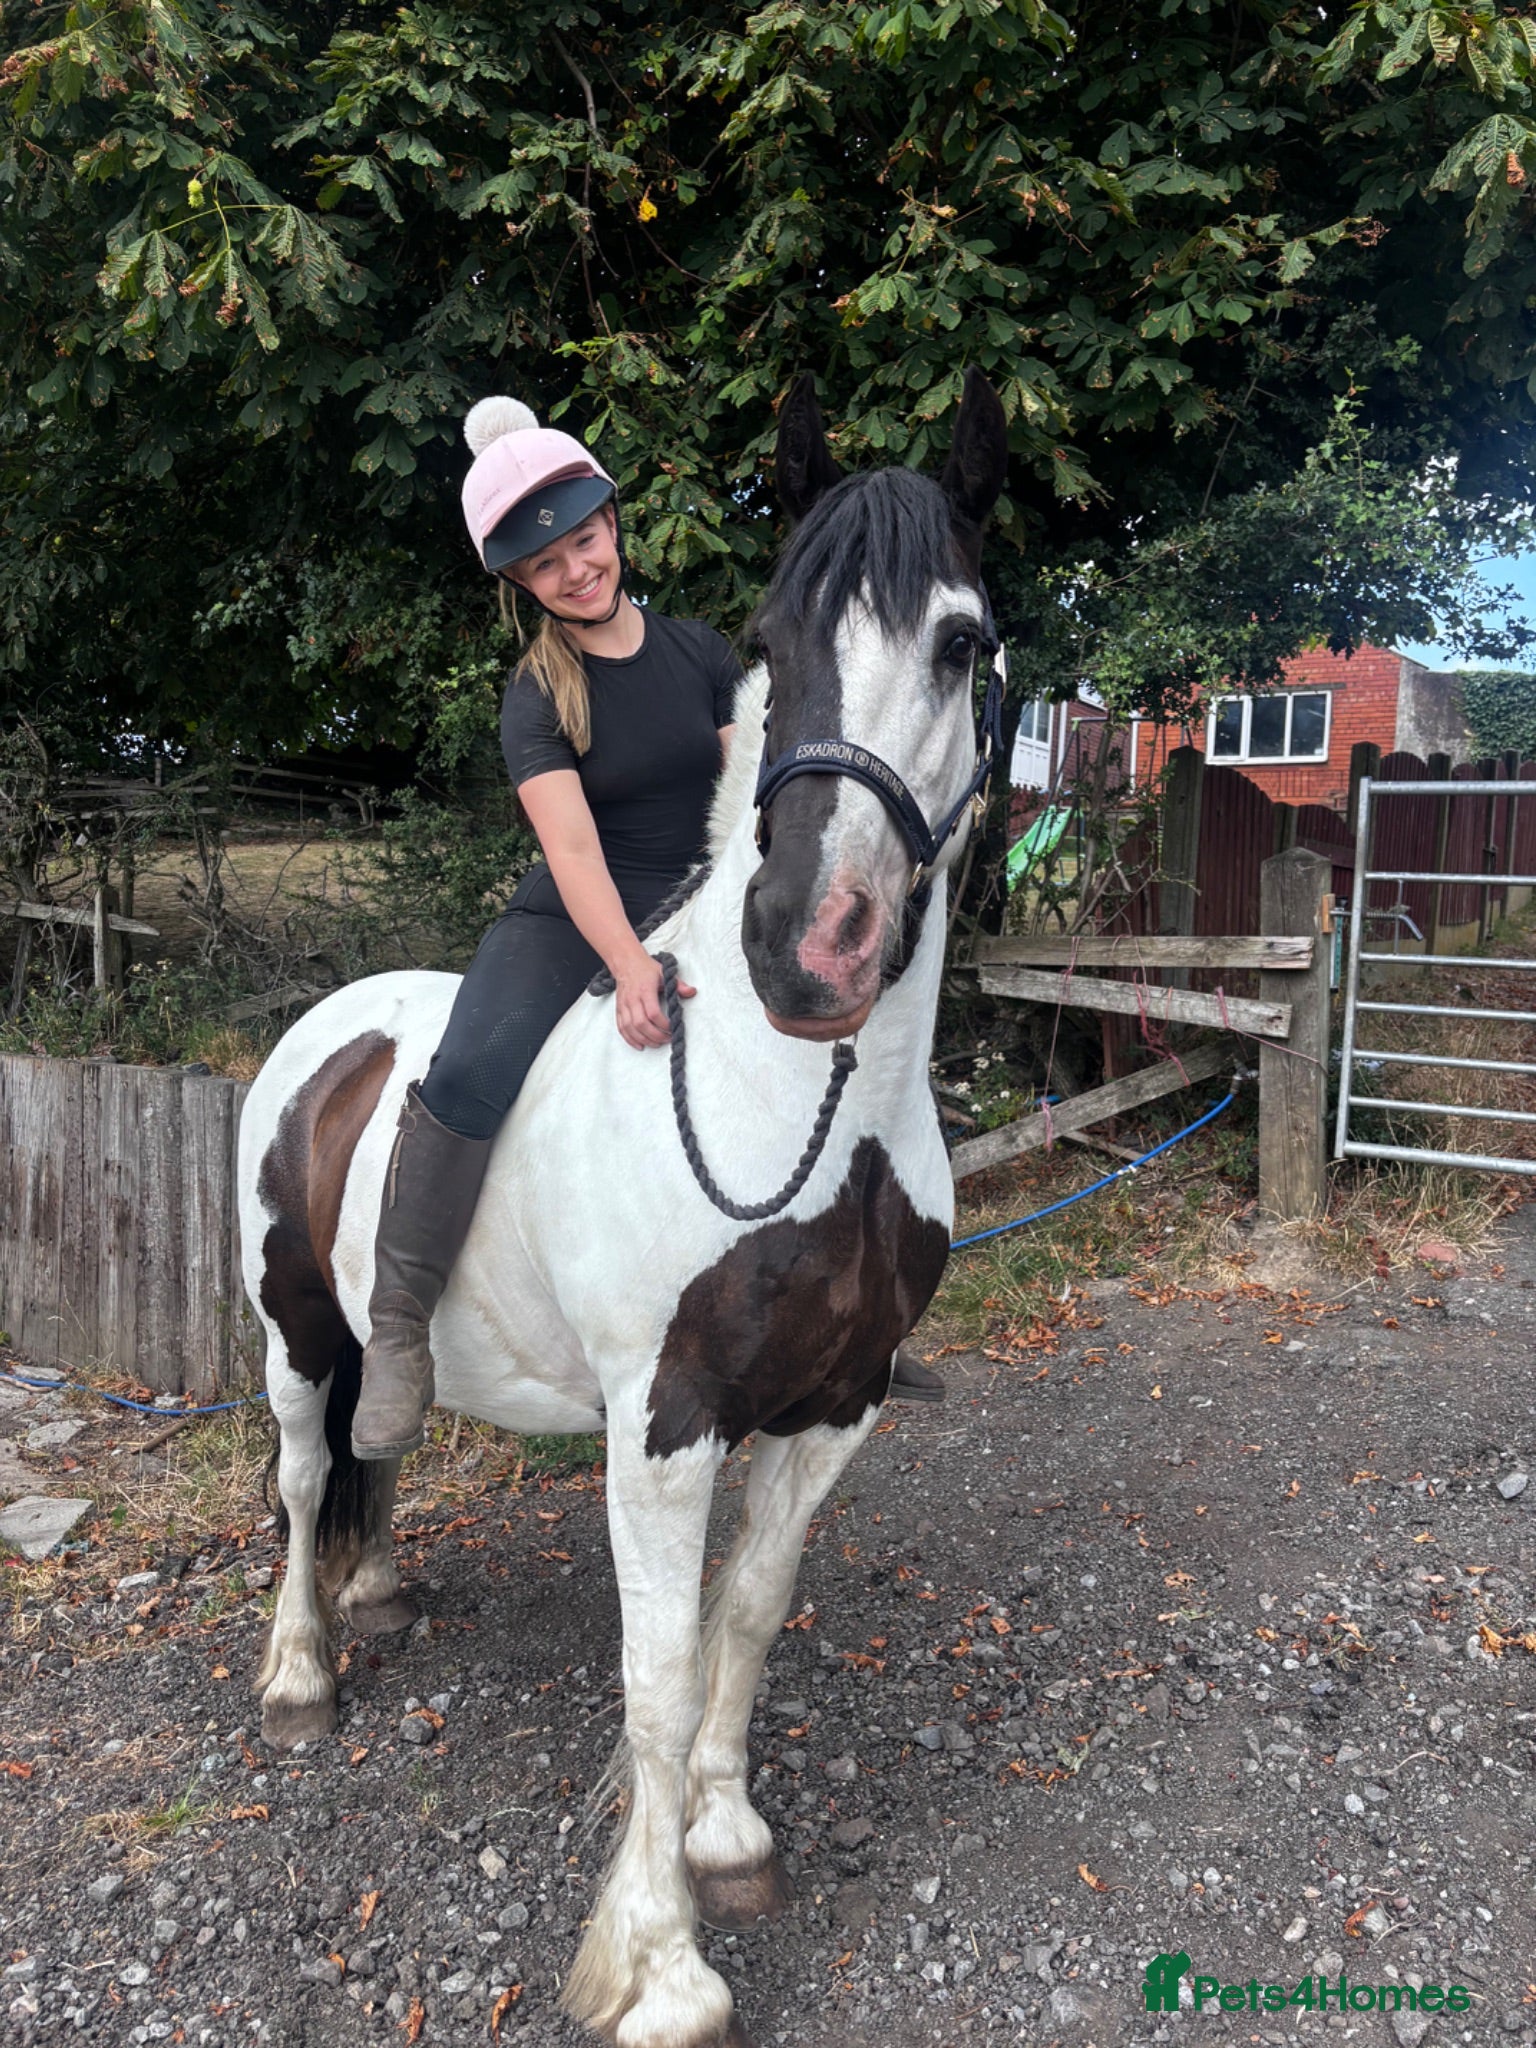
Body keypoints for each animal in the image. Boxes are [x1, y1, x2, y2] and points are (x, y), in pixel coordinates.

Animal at [237, 367, 1008, 2048]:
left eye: (962, 642)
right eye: (774, 639)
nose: (810, 951)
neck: (801, 1101)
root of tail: (334, 1029)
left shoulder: (835, 1407)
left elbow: (751, 1616)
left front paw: (726, 1836)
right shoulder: (665, 1426)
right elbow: (653, 1671)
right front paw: (660, 1964)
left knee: (378, 1446)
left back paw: (379, 1593)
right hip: (289, 1333)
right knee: (302, 1476)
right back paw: (303, 1670)